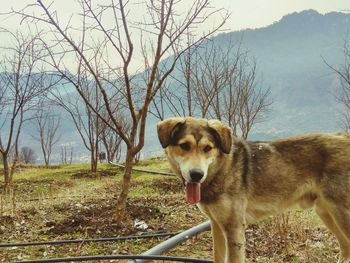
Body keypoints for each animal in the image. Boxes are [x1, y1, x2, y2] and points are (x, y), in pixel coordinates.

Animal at [158, 117, 350, 263]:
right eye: (184, 146)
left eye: (207, 148)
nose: (197, 175)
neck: (221, 169)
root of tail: (345, 138)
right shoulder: (216, 225)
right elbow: (217, 257)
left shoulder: (234, 228)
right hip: (326, 212)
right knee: (346, 247)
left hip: (340, 214)